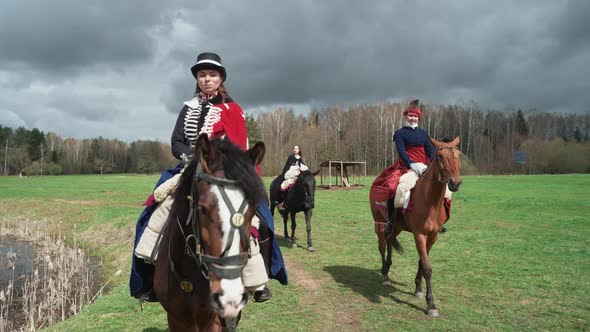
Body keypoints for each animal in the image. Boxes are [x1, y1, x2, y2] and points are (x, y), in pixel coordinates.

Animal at [372, 137, 464, 316]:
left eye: (459, 154)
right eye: (440, 156)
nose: (455, 183)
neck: (430, 201)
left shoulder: (433, 236)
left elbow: (422, 262)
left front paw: (418, 289)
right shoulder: (419, 235)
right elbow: (427, 267)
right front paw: (431, 305)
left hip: (397, 226)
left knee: (390, 240)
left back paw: (387, 269)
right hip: (379, 224)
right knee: (382, 245)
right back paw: (385, 275)